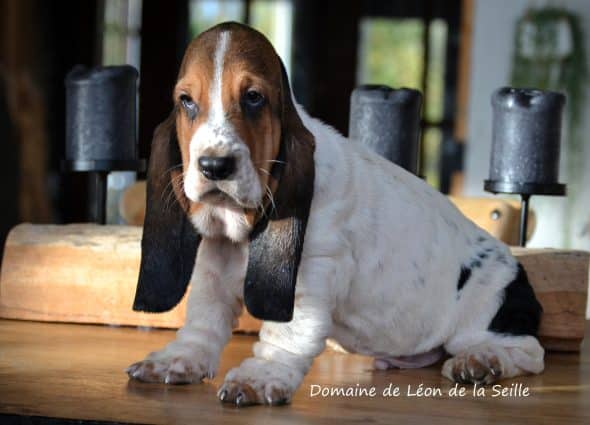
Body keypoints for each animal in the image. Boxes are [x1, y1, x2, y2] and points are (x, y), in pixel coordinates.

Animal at [127, 22, 548, 404]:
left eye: (253, 97)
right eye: (186, 101)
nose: (214, 166)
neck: (239, 227)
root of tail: (518, 272)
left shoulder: (308, 275)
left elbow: (284, 335)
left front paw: (259, 378)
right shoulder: (214, 264)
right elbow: (204, 321)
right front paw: (177, 360)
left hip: (486, 311)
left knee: (527, 352)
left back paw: (479, 362)